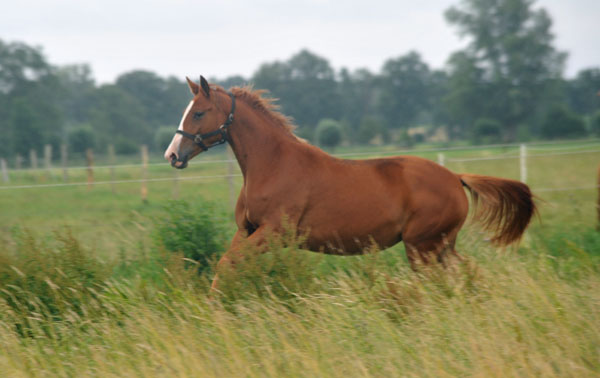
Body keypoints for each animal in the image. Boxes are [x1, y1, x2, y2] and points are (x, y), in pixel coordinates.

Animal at [163, 77, 536, 290]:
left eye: (198, 113)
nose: (172, 155)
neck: (273, 165)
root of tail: (456, 178)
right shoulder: (247, 230)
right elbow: (227, 265)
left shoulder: (274, 233)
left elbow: (228, 264)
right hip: (441, 246)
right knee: (469, 274)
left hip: (423, 247)